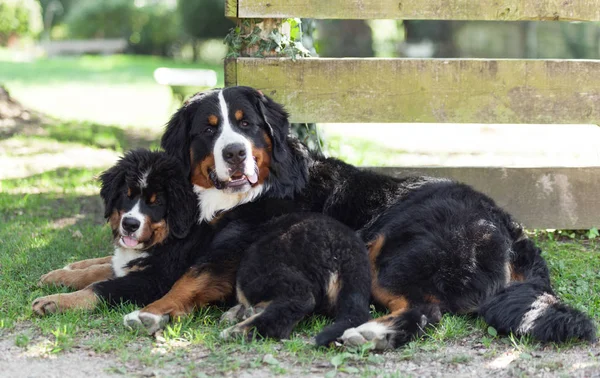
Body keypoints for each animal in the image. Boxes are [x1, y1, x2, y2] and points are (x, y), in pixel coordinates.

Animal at [127, 86, 596, 348]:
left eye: (246, 126)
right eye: (209, 128)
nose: (234, 153)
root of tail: (509, 229)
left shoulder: (235, 247)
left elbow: (190, 277)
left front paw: (150, 312)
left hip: (389, 255)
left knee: (425, 311)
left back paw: (370, 334)